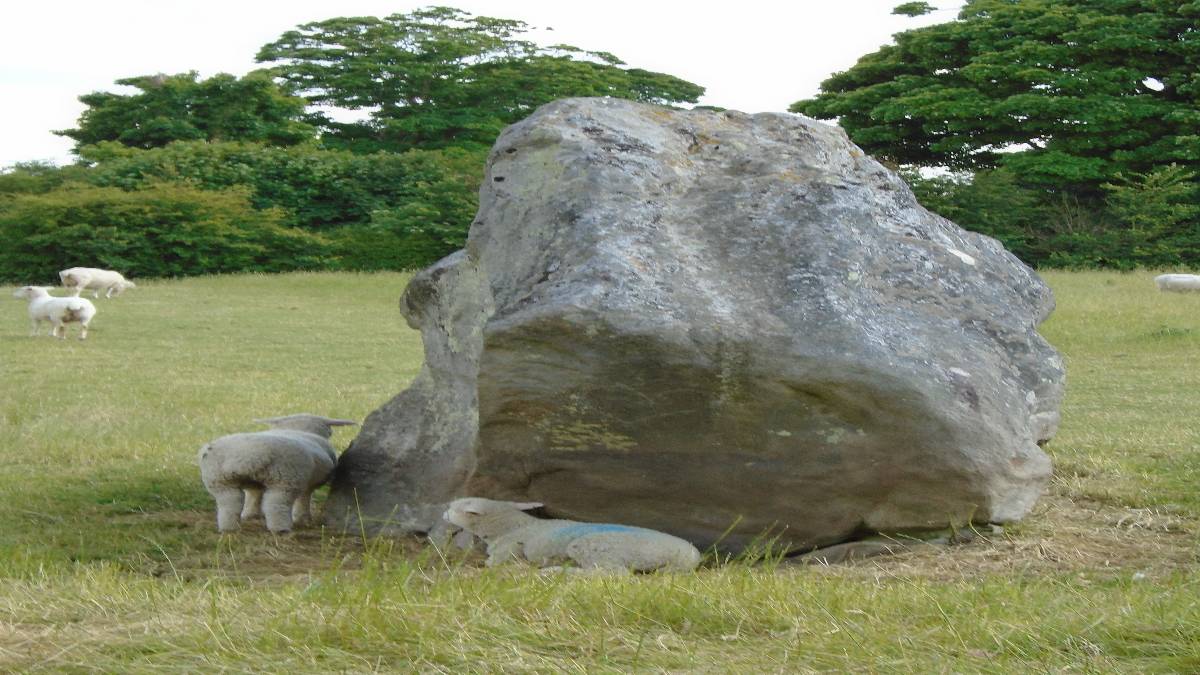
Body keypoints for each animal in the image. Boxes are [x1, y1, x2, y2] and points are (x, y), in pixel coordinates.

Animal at [198, 414, 357, 533]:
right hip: (286, 481)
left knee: (230, 502)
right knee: (275, 505)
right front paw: (302, 518)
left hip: (219, 481)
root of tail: (247, 456)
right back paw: (281, 529)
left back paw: (229, 528)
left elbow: (253, 495)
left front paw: (250, 514)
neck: (299, 429)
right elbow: (304, 499)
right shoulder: (306, 483)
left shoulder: (254, 484)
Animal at [443, 497, 702, 572]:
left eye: (453, 507)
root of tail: (689, 555)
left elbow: (496, 561)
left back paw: (555, 572)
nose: (444, 513)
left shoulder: (508, 547)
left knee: (611, 574)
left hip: (594, 546)